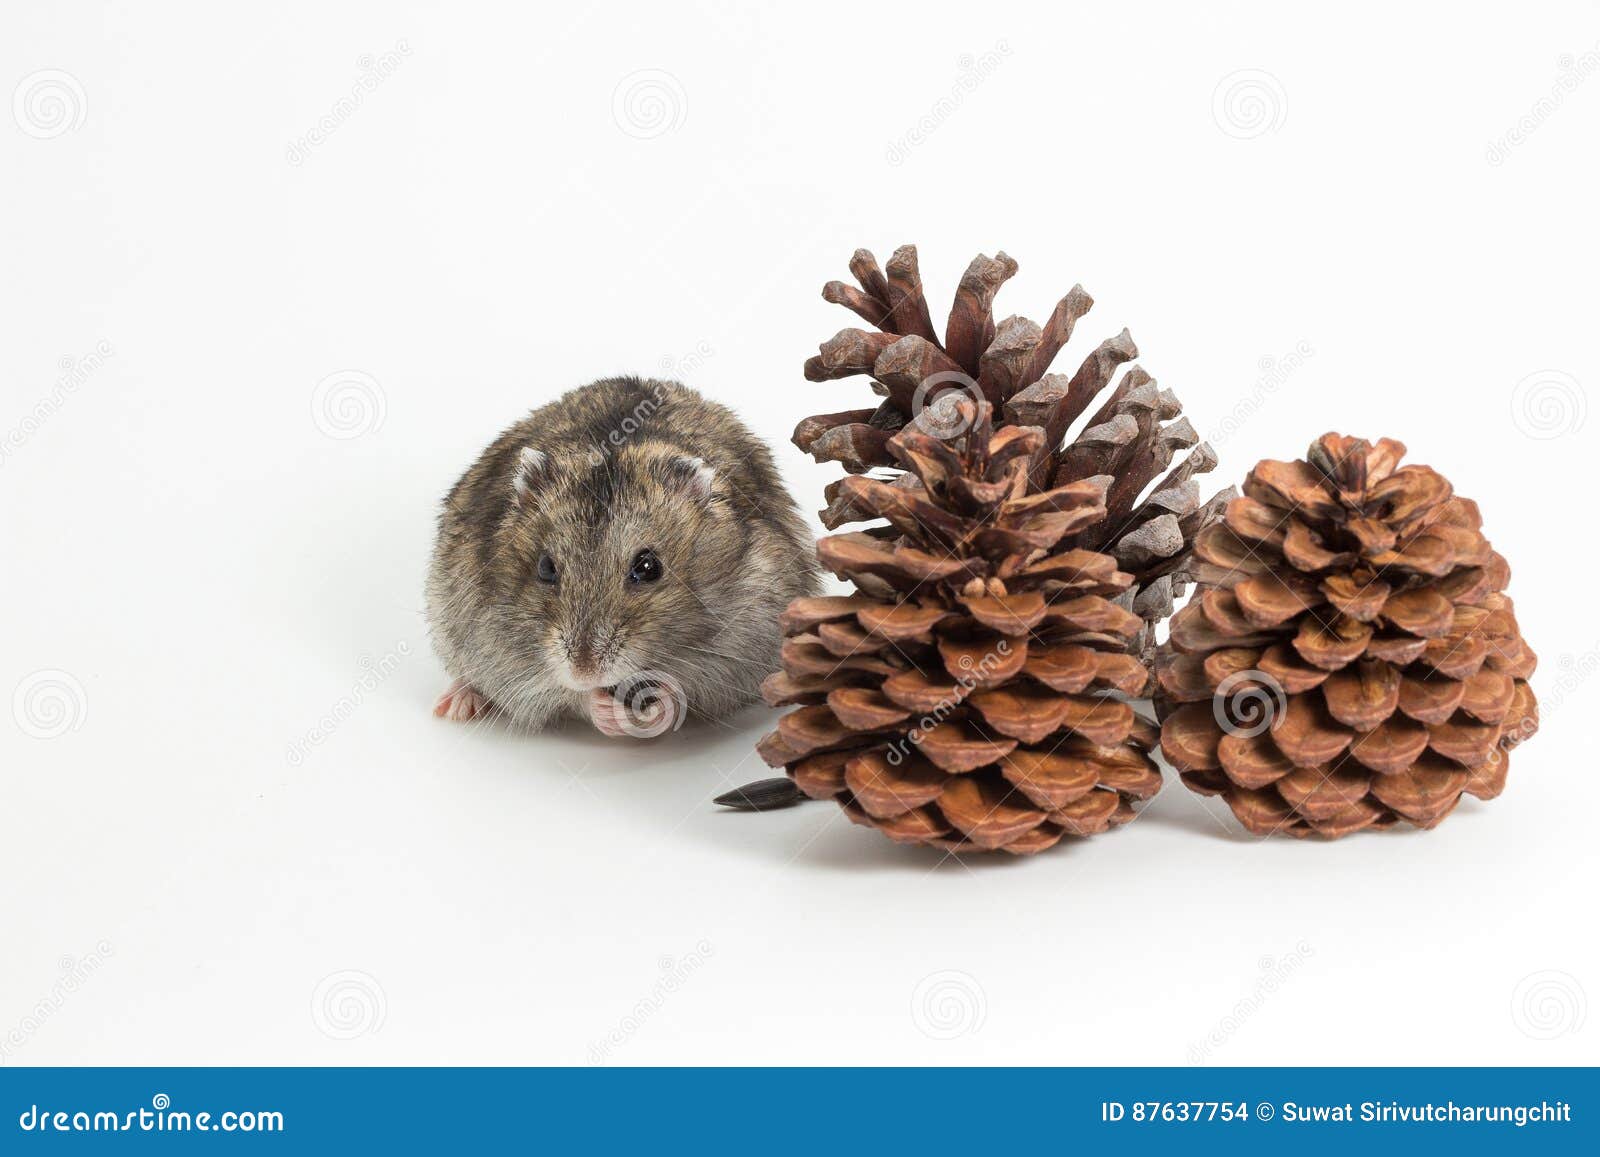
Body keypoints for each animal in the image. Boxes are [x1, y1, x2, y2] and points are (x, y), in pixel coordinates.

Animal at [425, 377, 822, 737]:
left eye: (648, 567)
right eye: (545, 568)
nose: (585, 672)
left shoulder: (747, 636)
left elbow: (685, 688)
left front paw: (657, 707)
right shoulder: (501, 651)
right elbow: (569, 695)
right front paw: (609, 711)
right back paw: (455, 705)